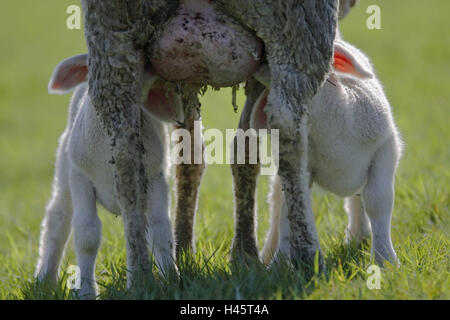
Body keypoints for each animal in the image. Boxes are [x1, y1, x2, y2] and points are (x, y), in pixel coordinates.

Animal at [34, 54, 183, 298]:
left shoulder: (155, 178)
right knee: (58, 217)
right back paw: (44, 278)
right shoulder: (81, 178)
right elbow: (87, 235)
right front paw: (86, 291)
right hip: (66, 167)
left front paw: (171, 279)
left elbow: (160, 230)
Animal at [251, 40, 402, 268]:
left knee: (358, 198)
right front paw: (277, 265)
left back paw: (358, 236)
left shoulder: (386, 148)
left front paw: (385, 260)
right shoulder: (302, 167)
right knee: (277, 200)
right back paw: (269, 252)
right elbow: (290, 211)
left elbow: (377, 201)